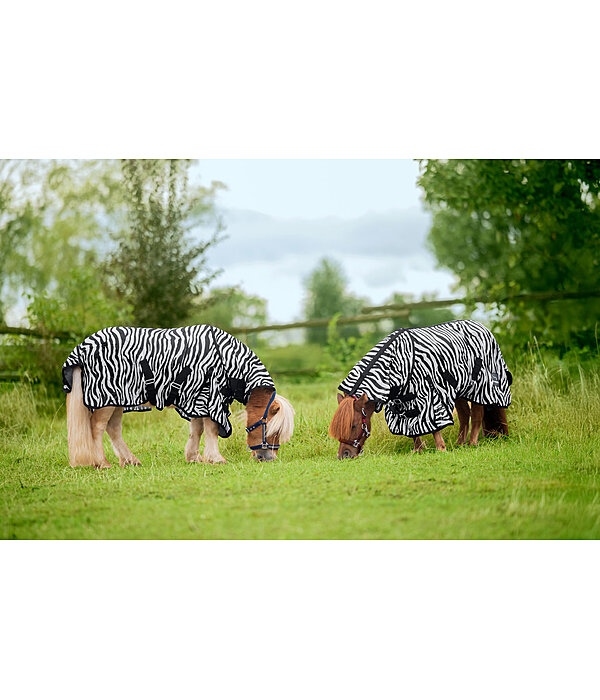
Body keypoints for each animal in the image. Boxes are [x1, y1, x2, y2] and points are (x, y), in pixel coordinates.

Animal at [328, 318, 510, 460]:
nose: (343, 455)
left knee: (477, 415)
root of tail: (483, 328)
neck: (396, 363)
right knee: (465, 415)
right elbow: (410, 426)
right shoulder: (402, 403)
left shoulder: (429, 397)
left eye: (353, 425)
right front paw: (417, 449)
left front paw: (441, 448)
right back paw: (459, 444)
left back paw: (472, 443)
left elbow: (432, 424)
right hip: (460, 391)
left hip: (480, 388)